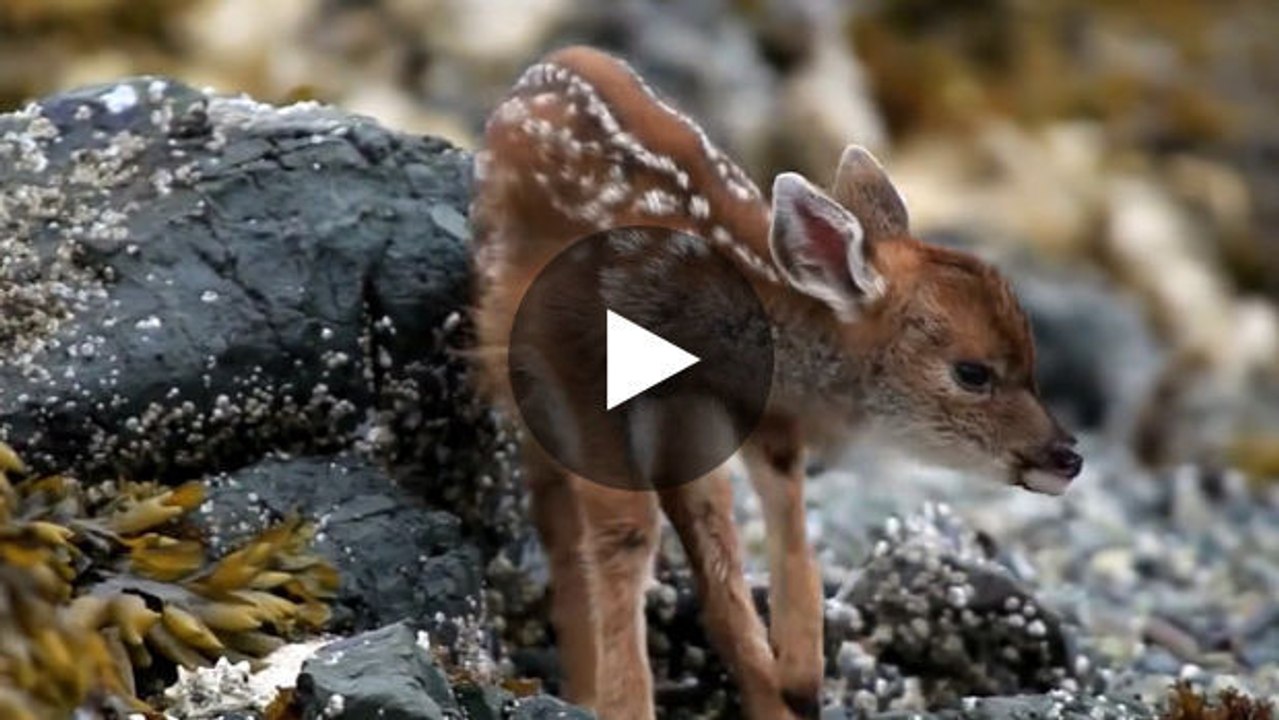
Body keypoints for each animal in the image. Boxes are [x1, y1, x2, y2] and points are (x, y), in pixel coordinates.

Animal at [470, 47, 1079, 716]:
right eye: (972, 372)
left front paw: (797, 678)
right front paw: (626, 703)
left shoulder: (727, 414)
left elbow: (755, 525)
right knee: (557, 509)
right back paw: (581, 684)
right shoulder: (576, 360)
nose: (1067, 455)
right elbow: (624, 533)